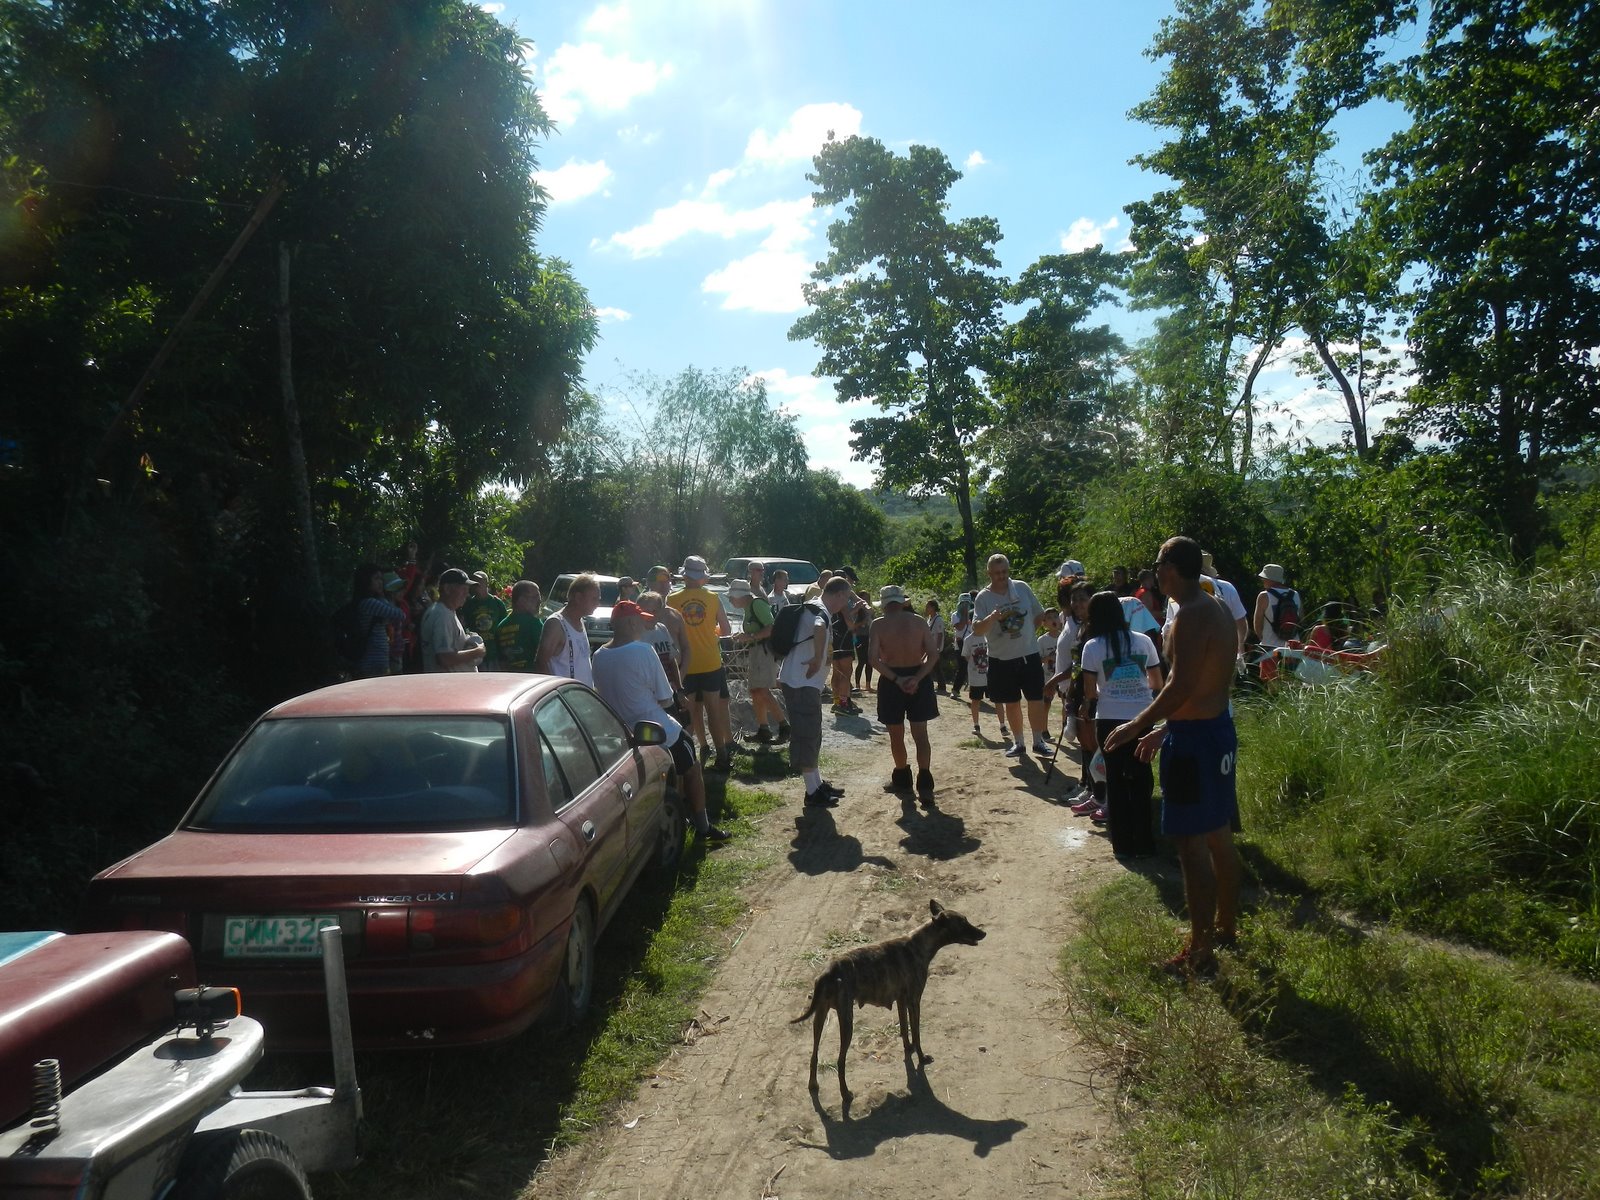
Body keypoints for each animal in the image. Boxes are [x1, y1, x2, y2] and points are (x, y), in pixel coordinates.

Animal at [792, 899, 986, 1110]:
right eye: (963, 923)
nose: (983, 933)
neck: (920, 944)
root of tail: (828, 971)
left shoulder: (901, 1001)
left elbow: (904, 1029)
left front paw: (908, 1049)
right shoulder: (914, 1001)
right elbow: (916, 1033)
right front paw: (921, 1057)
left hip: (819, 1018)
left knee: (814, 1055)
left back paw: (813, 1085)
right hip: (846, 1022)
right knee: (840, 1061)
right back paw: (846, 1094)